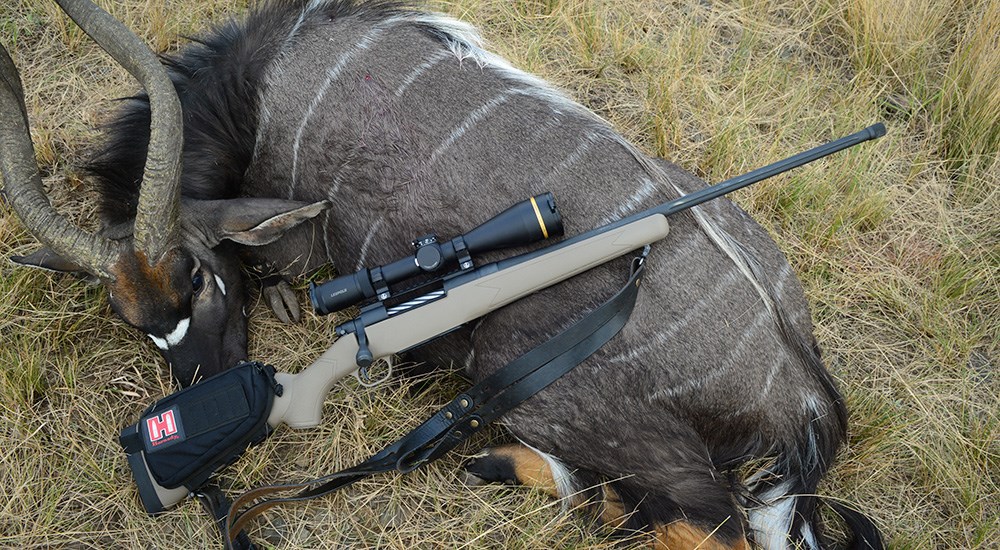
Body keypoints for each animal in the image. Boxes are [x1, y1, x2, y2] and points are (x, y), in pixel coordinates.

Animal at [5, 0, 884, 548]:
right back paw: (496, 464)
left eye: (198, 279)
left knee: (709, 526)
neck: (263, 83)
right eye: (132, 320)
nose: (200, 399)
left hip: (520, 371)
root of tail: (803, 393)